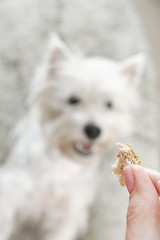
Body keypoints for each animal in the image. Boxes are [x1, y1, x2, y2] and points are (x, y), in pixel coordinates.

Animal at [0, 34, 144, 240]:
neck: (62, 163)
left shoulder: (68, 213)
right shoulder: (11, 192)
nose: (93, 131)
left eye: (109, 104)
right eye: (73, 100)